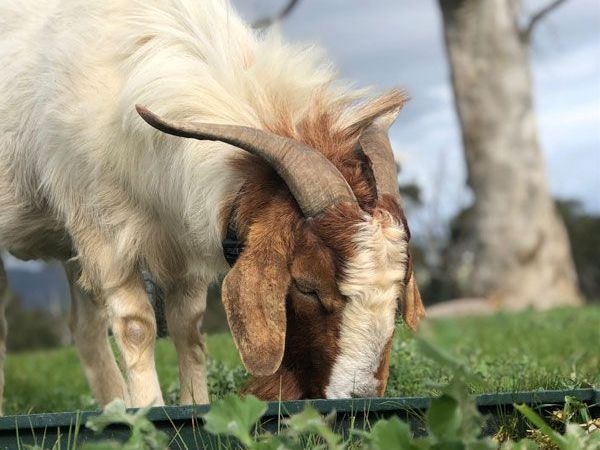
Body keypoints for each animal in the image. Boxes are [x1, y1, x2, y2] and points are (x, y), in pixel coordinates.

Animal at [0, 0, 424, 410]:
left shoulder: (179, 236)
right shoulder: (102, 233)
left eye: (397, 292)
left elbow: (188, 327)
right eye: (307, 286)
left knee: (84, 330)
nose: (360, 399)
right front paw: (148, 413)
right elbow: (137, 326)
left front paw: (193, 406)